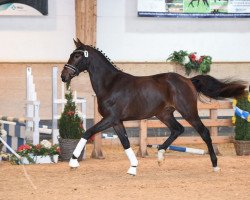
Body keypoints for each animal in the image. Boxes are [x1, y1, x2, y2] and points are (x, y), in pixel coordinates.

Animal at [61, 38, 246, 175]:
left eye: (77, 56)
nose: (64, 76)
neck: (110, 84)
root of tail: (188, 80)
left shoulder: (110, 118)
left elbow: (87, 132)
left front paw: (73, 162)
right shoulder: (117, 121)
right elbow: (125, 142)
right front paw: (133, 167)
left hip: (188, 112)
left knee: (204, 132)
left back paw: (215, 165)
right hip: (164, 114)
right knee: (177, 129)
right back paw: (160, 155)